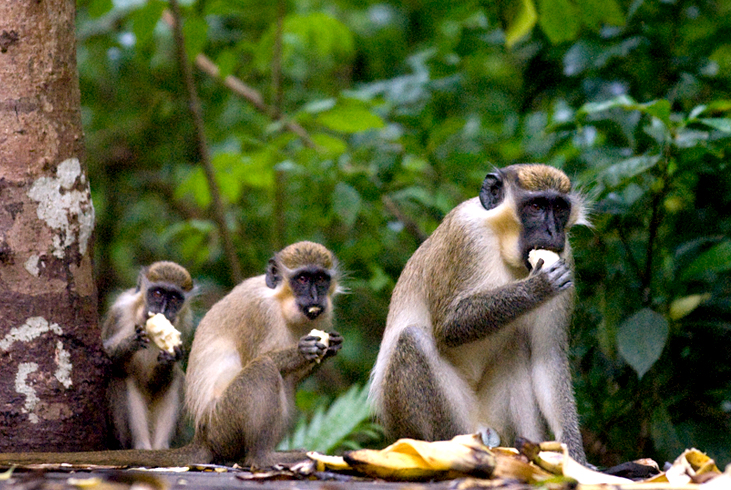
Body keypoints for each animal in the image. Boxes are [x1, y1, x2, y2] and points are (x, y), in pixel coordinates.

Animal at [102, 261, 194, 450]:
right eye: (158, 293)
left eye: (175, 298)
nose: (163, 310)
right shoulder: (119, 311)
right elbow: (106, 356)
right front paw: (131, 342)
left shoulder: (186, 323)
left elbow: (160, 379)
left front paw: (170, 359)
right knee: (124, 376)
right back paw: (141, 446)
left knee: (175, 379)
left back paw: (161, 447)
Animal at [369, 164, 590, 464]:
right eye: (536, 206)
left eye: (559, 208)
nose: (553, 231)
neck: (501, 242)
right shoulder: (466, 234)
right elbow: (448, 325)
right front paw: (537, 287)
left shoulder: (565, 256)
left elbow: (548, 358)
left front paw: (576, 458)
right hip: (426, 421)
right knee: (412, 340)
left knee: (517, 343)